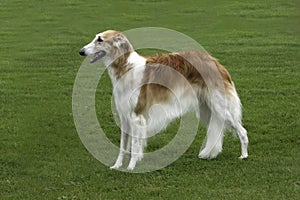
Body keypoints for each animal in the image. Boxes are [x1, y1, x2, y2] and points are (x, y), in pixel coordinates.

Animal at [79, 29, 248, 170]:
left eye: (100, 40)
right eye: (96, 37)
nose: (81, 51)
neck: (126, 68)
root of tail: (215, 62)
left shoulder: (136, 116)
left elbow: (134, 146)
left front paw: (131, 167)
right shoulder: (125, 117)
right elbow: (123, 147)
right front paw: (117, 166)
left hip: (220, 107)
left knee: (242, 131)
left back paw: (244, 155)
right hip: (207, 109)